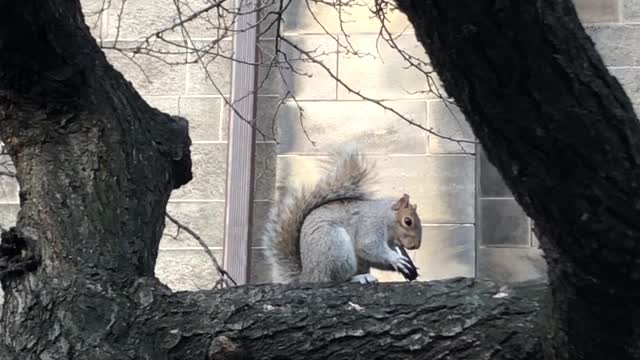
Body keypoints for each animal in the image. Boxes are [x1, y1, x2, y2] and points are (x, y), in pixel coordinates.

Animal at [262, 146, 422, 284]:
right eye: (408, 221)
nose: (415, 246)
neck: (386, 218)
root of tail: (309, 276)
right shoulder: (370, 225)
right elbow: (367, 246)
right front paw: (396, 259)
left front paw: (409, 267)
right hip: (335, 246)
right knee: (337, 279)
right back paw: (359, 278)